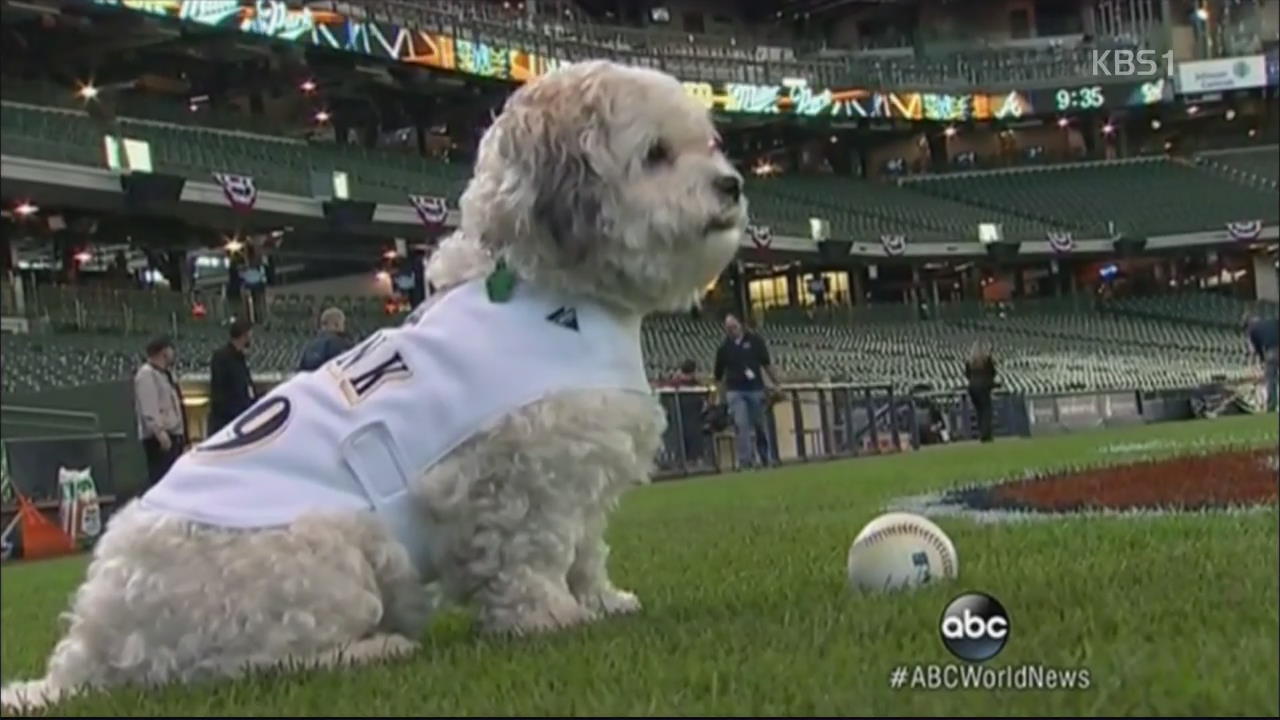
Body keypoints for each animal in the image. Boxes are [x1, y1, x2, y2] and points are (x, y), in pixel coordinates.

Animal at [2, 60, 742, 707]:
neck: (540, 284)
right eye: (655, 154)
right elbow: (530, 556)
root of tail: (87, 651)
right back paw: (373, 648)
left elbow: (585, 549)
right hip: (327, 543)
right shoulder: (517, 480)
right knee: (254, 666)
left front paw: (601, 599)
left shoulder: (578, 472)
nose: (732, 184)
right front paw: (550, 616)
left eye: (707, 144)